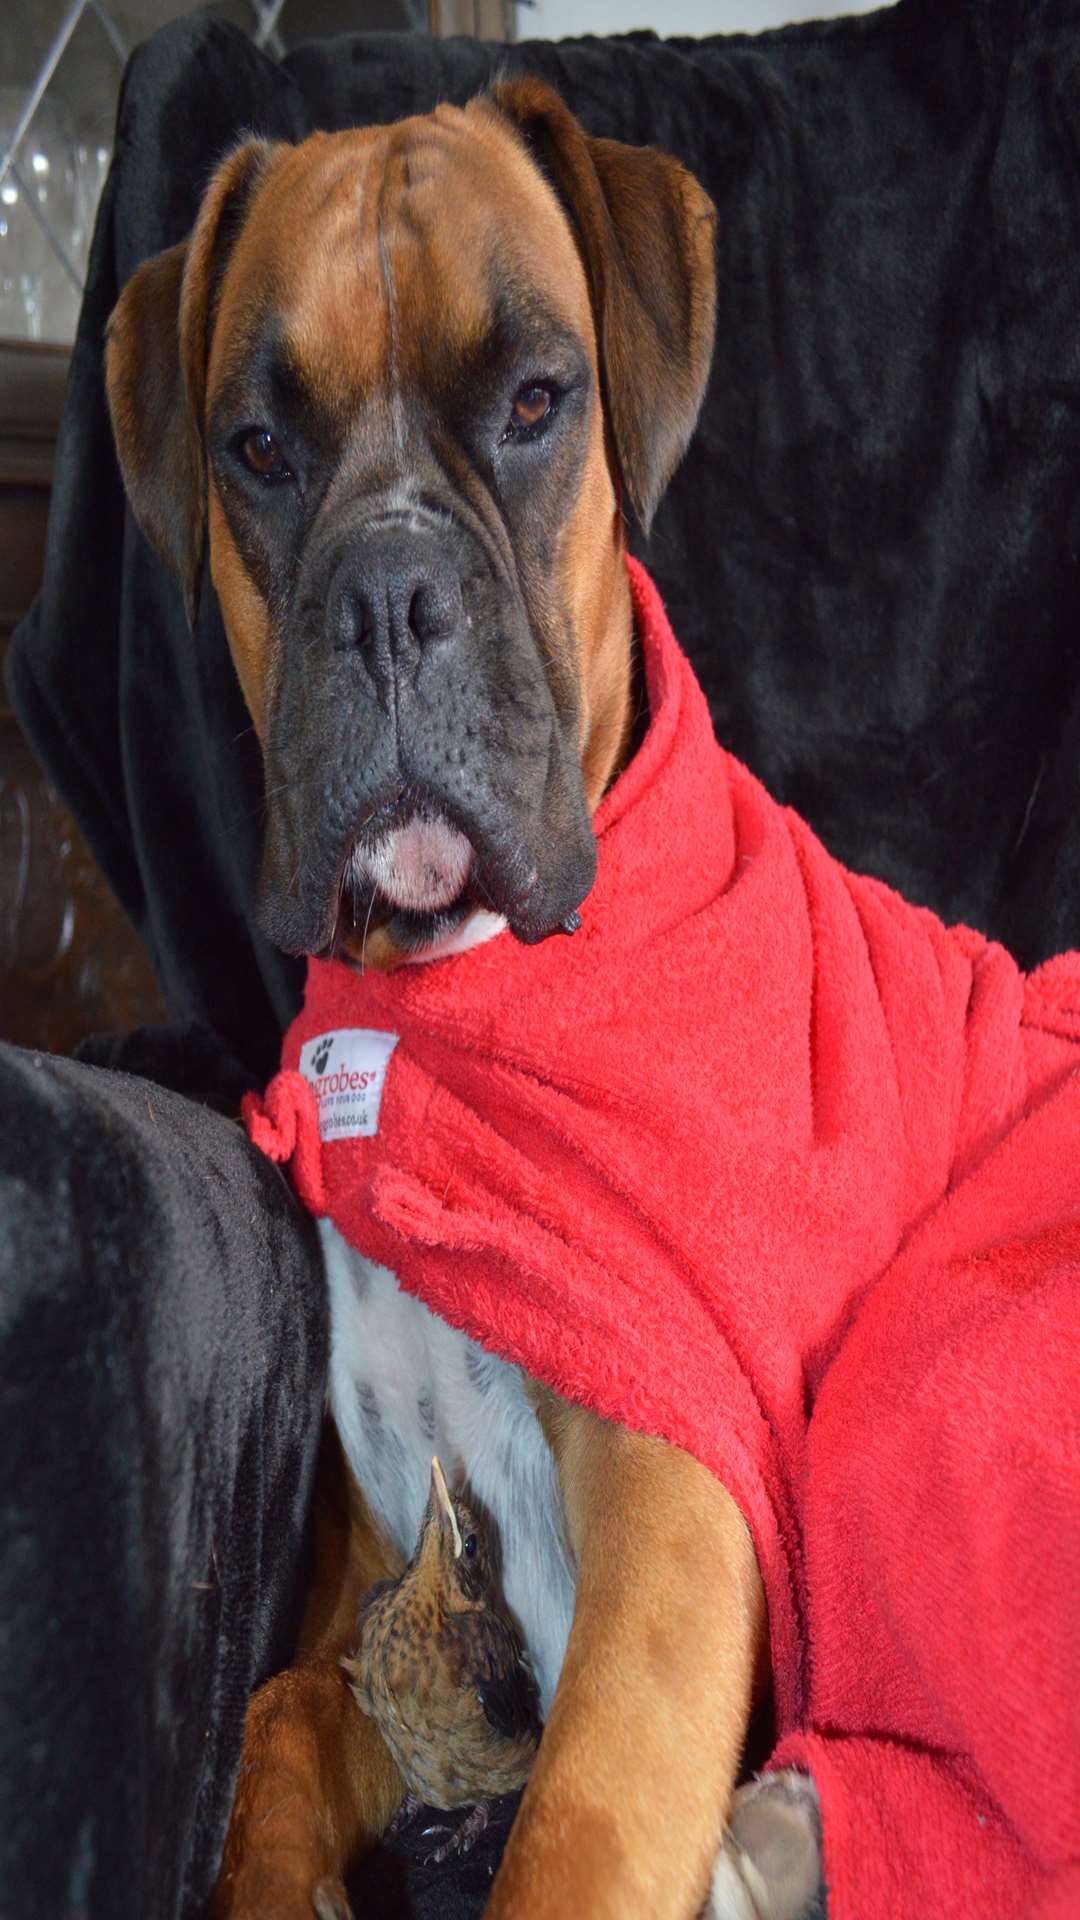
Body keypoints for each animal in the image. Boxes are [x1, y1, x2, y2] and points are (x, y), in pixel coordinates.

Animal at [107, 74, 814, 1920]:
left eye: (538, 401)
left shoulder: (666, 1536)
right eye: (257, 445)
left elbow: (574, 1836)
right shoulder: (390, 1606)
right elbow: (282, 1721)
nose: (386, 592)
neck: (440, 1010)